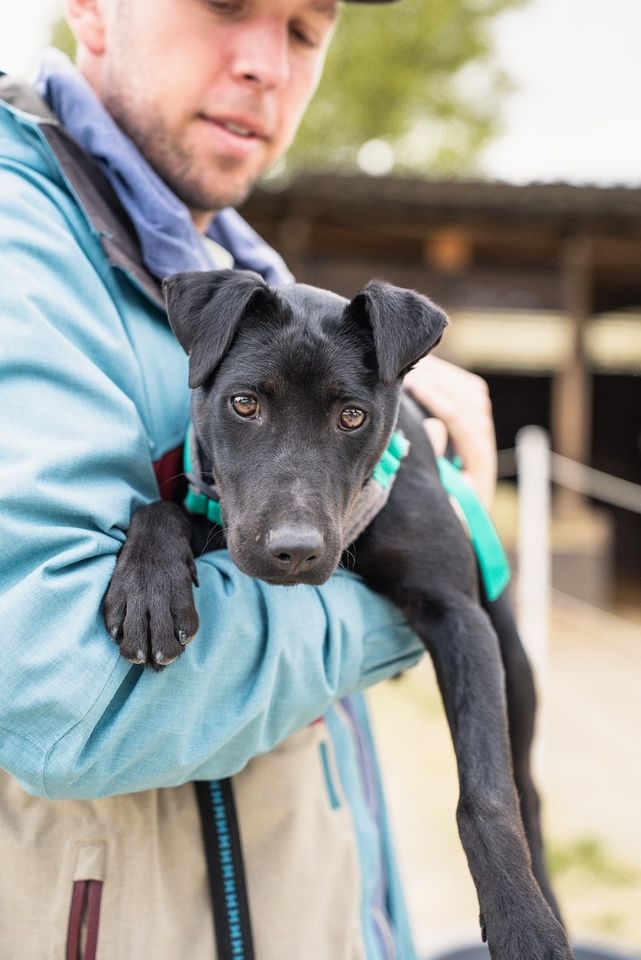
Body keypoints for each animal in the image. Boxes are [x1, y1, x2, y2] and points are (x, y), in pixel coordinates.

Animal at [104, 270, 568, 960]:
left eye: (353, 416)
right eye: (244, 404)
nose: (294, 551)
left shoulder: (460, 617)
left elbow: (487, 792)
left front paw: (523, 922)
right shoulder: (220, 512)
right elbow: (162, 508)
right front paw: (148, 589)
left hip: (515, 662)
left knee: (529, 791)